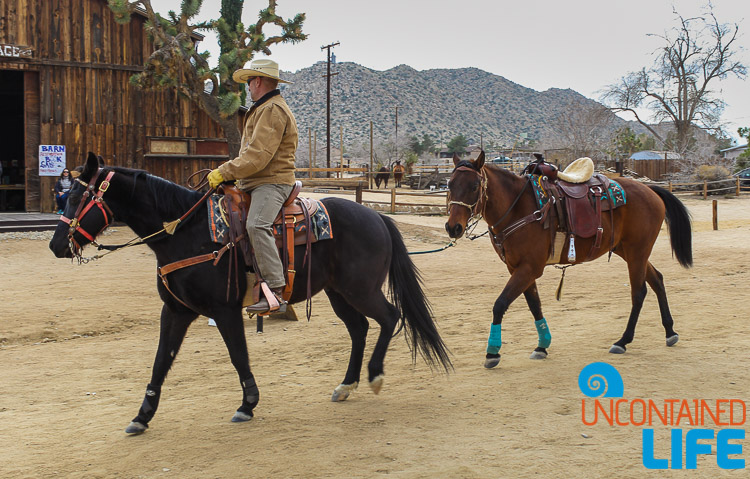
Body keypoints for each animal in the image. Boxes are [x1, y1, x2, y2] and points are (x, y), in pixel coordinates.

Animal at [53, 153, 452, 436]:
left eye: (79, 196)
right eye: (64, 196)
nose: (57, 245)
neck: (185, 231)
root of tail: (377, 217)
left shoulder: (224, 310)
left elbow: (238, 356)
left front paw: (248, 403)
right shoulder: (176, 311)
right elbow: (161, 361)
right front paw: (142, 415)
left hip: (361, 289)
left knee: (389, 317)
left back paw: (374, 375)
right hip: (339, 292)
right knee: (359, 329)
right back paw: (346, 385)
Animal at [444, 152, 696, 370]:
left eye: (474, 186)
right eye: (449, 185)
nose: (453, 227)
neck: (518, 208)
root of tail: (650, 189)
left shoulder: (529, 268)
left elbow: (500, 304)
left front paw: (492, 352)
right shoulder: (517, 268)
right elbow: (534, 304)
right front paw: (542, 345)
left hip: (637, 252)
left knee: (639, 292)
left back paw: (623, 340)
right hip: (629, 251)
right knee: (657, 280)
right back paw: (670, 332)